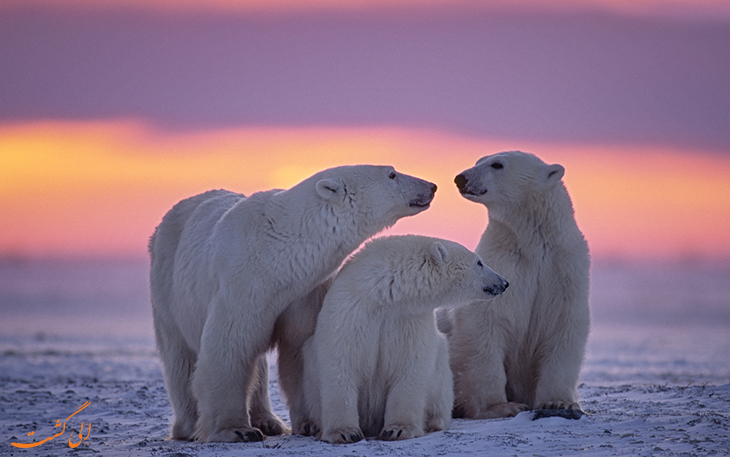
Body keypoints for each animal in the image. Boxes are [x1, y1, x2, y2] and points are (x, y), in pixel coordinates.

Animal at [146, 165, 436, 442]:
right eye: (392, 174)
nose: (431, 185)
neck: (278, 255)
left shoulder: (304, 293)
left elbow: (299, 348)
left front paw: (310, 424)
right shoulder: (242, 284)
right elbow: (229, 346)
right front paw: (237, 430)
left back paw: (268, 421)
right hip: (167, 288)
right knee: (179, 357)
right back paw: (188, 426)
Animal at [298, 235, 510, 442]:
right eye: (479, 262)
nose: (504, 282)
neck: (385, 295)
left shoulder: (409, 319)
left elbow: (410, 365)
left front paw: (398, 429)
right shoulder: (351, 311)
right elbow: (341, 362)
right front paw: (344, 432)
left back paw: (433, 421)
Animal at [436, 151, 588, 418]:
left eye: (497, 164)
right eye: (478, 161)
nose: (461, 178)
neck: (533, 245)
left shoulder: (564, 270)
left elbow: (564, 326)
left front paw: (558, 402)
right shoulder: (503, 265)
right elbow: (485, 324)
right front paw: (502, 406)